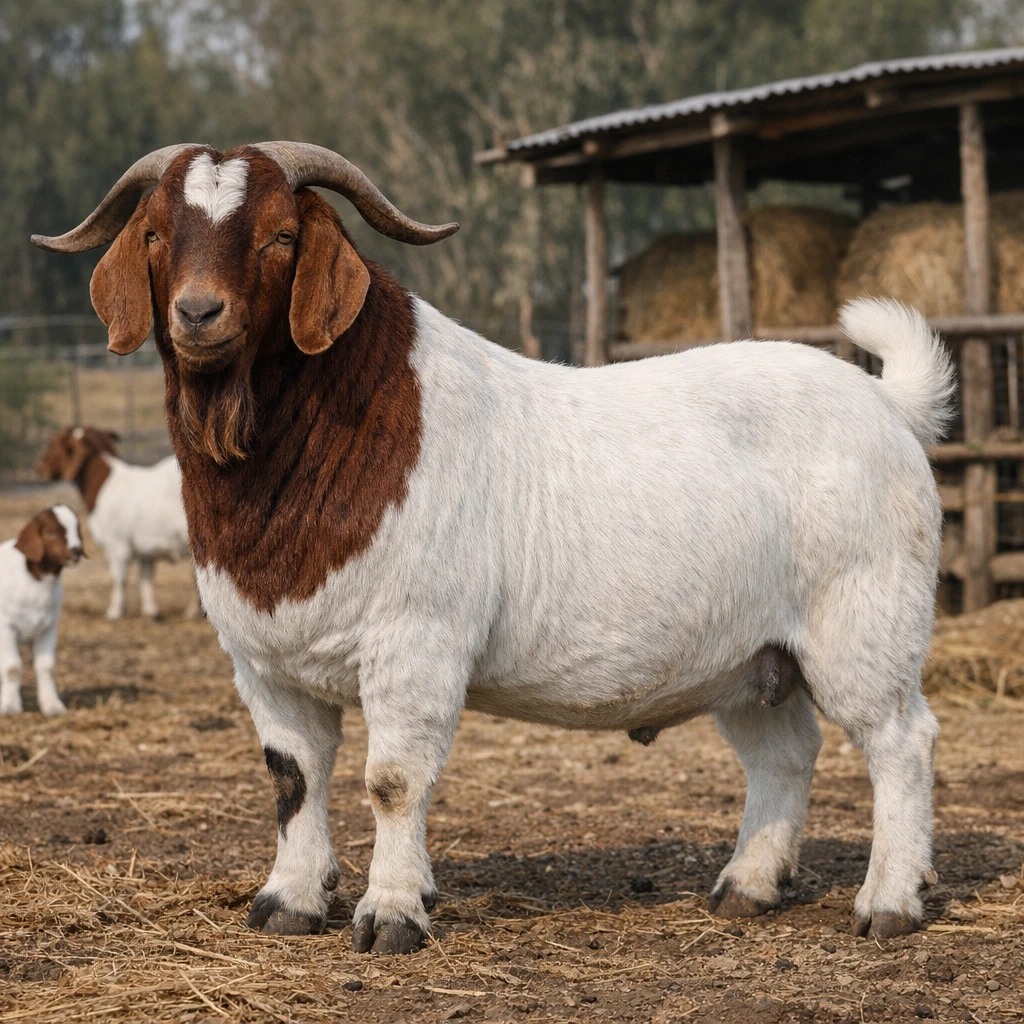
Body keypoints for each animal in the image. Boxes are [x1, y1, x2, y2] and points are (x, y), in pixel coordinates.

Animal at [0, 505, 83, 716]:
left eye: (77, 528)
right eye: (50, 532)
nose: (76, 551)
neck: (35, 578)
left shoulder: (48, 628)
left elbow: (46, 666)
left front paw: (52, 706)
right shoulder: (6, 627)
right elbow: (12, 667)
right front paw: (10, 707)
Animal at [37, 427, 200, 620]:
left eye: (55, 443)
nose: (40, 467)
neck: (103, 485)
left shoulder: (117, 543)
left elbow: (119, 578)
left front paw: (115, 611)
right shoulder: (145, 548)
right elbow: (146, 577)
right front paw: (152, 611)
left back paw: (193, 612)